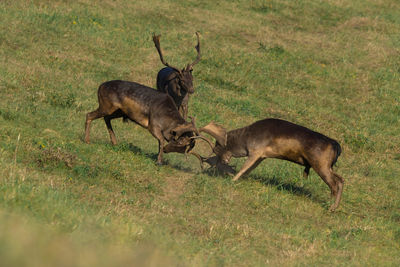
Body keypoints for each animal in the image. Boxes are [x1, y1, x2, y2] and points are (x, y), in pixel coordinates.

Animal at [198, 119, 346, 211]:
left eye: (217, 148)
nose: (223, 162)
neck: (246, 139)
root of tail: (336, 146)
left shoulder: (256, 150)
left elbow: (244, 168)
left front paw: (233, 180)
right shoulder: (262, 156)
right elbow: (248, 170)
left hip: (320, 164)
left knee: (334, 184)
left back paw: (331, 206)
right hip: (327, 166)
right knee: (341, 179)